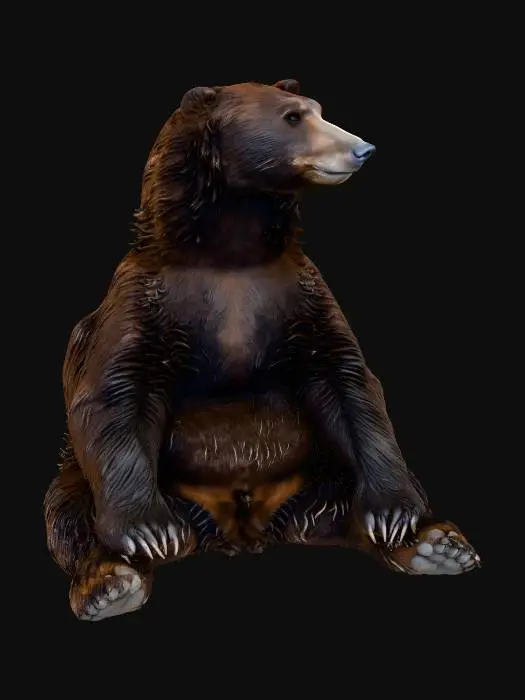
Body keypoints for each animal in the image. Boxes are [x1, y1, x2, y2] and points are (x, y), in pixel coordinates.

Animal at [44, 79, 481, 622]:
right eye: (293, 117)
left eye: (317, 110)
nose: (362, 149)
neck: (232, 247)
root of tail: (242, 529)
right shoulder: (144, 302)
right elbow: (116, 391)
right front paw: (148, 531)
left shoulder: (297, 295)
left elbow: (348, 382)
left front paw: (393, 512)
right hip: (108, 484)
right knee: (67, 508)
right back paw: (111, 582)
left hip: (317, 474)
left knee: (354, 493)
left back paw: (434, 545)